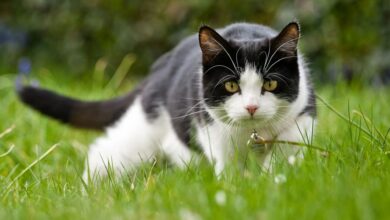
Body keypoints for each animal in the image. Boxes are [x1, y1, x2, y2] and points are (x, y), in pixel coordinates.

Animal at [17, 21, 316, 181]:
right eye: (231, 85)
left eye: (270, 84)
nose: (251, 107)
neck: (253, 133)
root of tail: (159, 68)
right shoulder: (213, 129)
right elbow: (229, 166)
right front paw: (237, 185)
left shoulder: (303, 113)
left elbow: (289, 145)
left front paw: (275, 175)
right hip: (143, 129)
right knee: (106, 149)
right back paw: (90, 188)